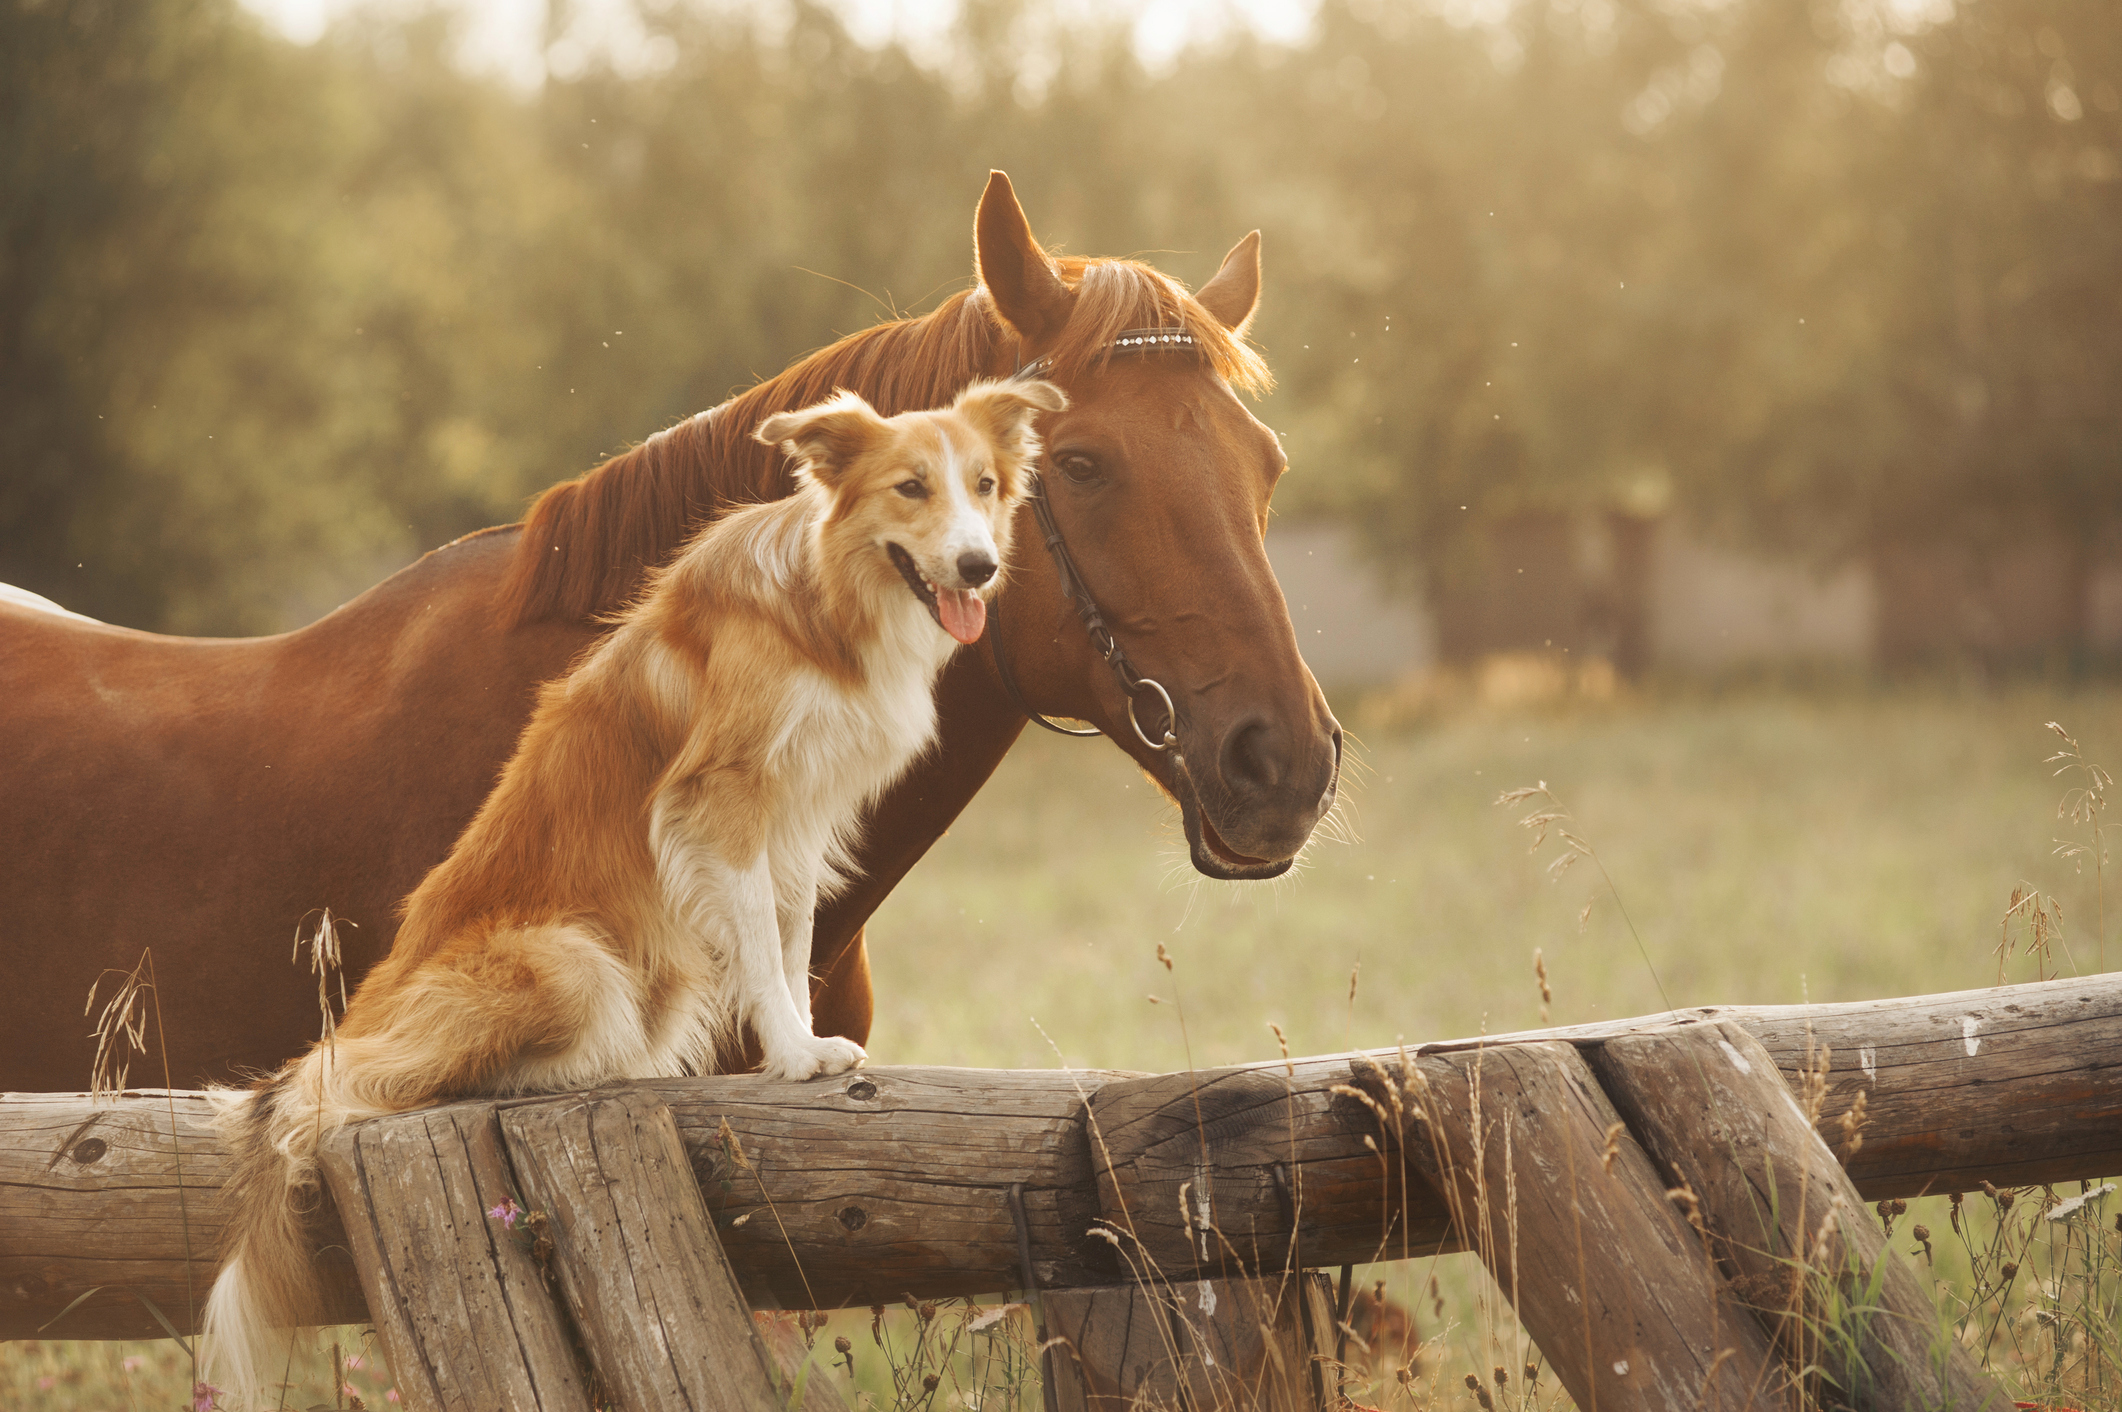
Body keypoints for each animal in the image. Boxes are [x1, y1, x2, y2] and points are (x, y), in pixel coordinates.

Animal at [202, 373, 1061, 1401]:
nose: (979, 566)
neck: (825, 601)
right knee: (357, 1085)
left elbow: (792, 939)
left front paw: (804, 1045)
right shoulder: (723, 801)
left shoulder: (799, 820)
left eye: (984, 484)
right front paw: (792, 1055)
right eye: (910, 488)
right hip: (573, 962)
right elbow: (763, 947)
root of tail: (365, 1011)